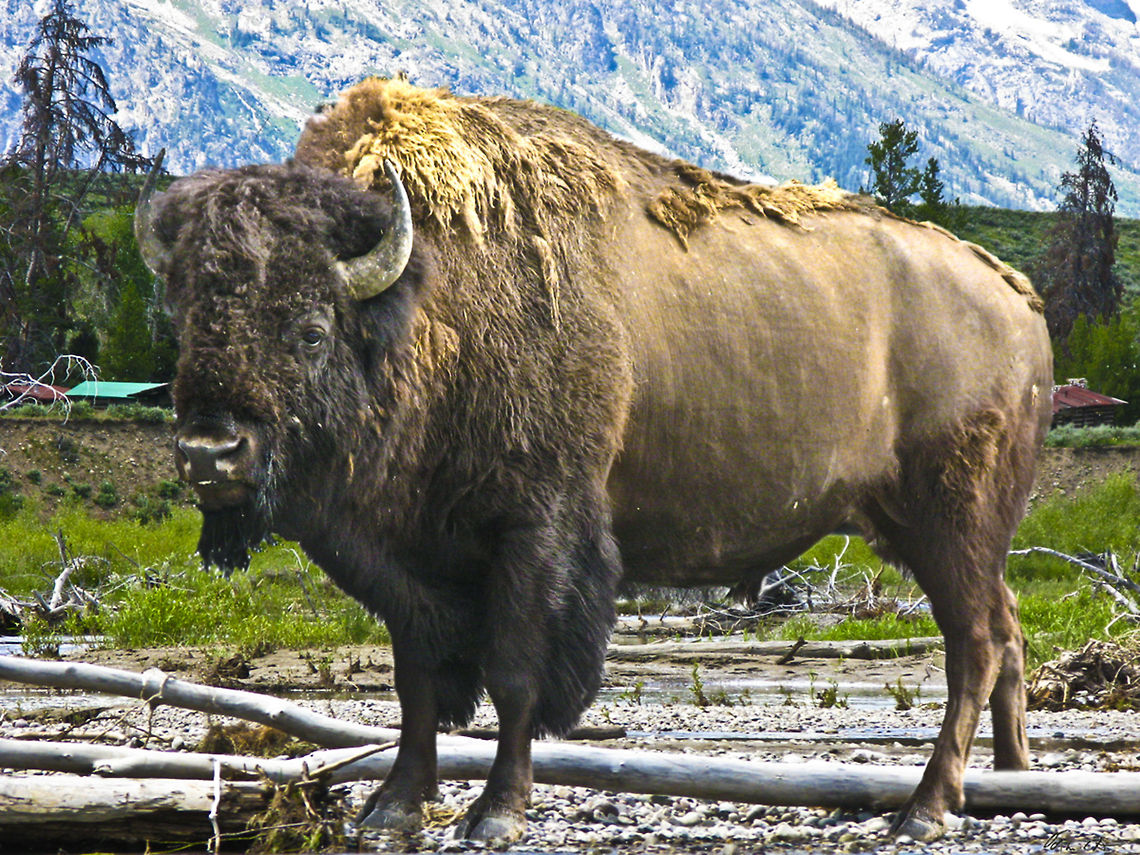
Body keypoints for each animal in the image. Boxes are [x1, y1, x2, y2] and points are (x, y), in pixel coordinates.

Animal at [134, 77, 1053, 844]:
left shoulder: (536, 530)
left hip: (950, 521)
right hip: (946, 532)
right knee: (1006, 625)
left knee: (973, 641)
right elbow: (415, 681)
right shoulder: (409, 563)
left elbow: (515, 674)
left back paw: (925, 808)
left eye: (310, 328)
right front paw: (392, 806)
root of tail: (1018, 299)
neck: (430, 301)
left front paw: (496, 814)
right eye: (185, 322)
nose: (211, 453)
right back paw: (1011, 780)